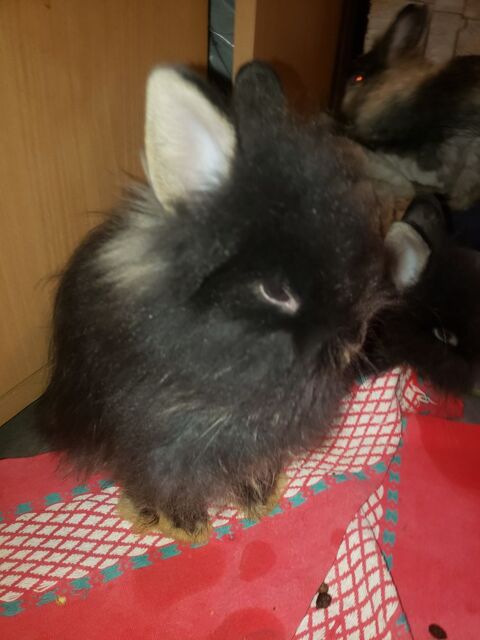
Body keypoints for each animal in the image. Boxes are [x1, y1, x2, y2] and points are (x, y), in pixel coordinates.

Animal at [37, 61, 390, 542]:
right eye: (276, 291)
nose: (355, 338)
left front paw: (259, 497)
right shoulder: (155, 440)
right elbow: (165, 480)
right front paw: (188, 527)